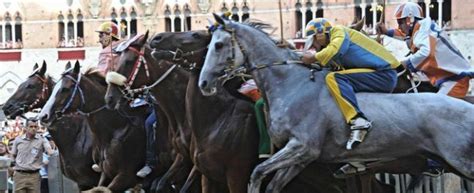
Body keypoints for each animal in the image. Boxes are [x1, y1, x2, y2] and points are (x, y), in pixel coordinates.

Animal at [196, 13, 474, 193]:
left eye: (218, 45)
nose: (204, 82)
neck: (291, 83)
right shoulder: (301, 157)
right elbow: (271, 183)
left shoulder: (303, 147)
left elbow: (256, 173)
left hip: (462, 161)